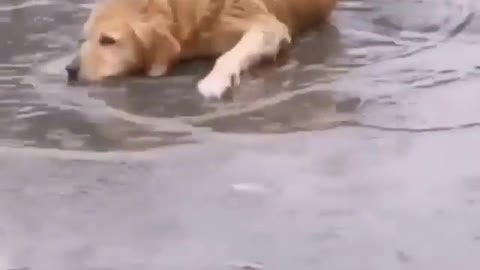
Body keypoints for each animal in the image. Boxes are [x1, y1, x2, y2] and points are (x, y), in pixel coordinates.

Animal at [66, 0, 338, 98]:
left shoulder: (266, 24)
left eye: (108, 40)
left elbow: (230, 55)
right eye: (84, 39)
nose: (70, 70)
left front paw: (214, 82)